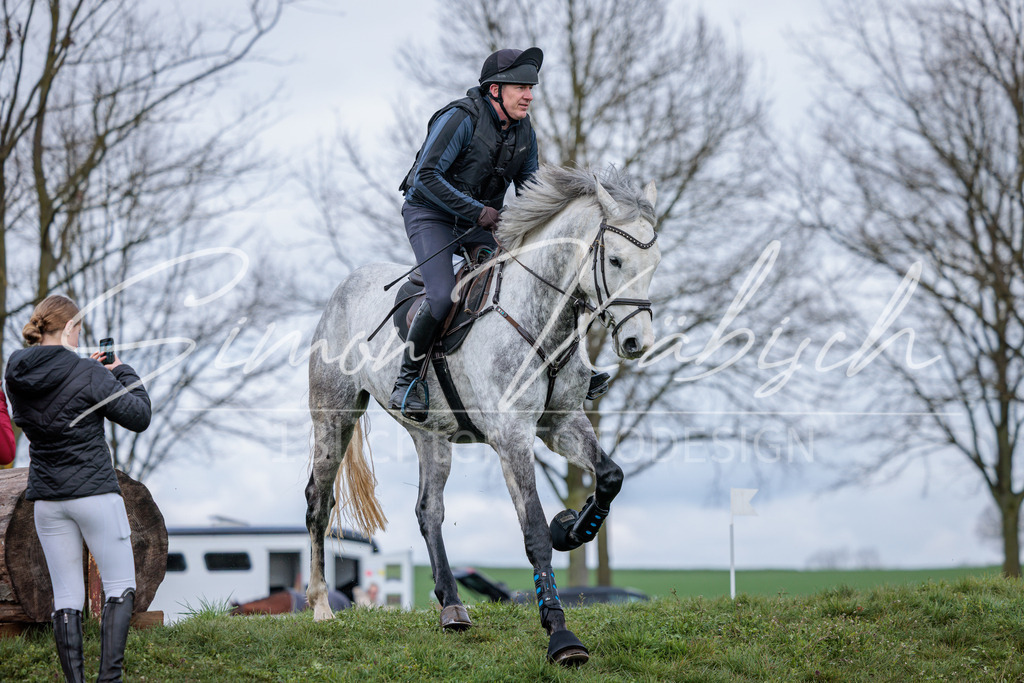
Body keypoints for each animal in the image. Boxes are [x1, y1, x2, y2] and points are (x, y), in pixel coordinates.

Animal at [304, 164, 661, 666]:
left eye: (655, 263)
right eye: (614, 261)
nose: (636, 343)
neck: (542, 320)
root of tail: (344, 286)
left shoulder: (561, 424)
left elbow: (611, 476)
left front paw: (572, 528)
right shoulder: (511, 436)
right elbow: (533, 532)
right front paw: (560, 635)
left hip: (430, 436)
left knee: (428, 511)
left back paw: (452, 606)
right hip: (334, 416)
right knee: (319, 501)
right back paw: (320, 606)